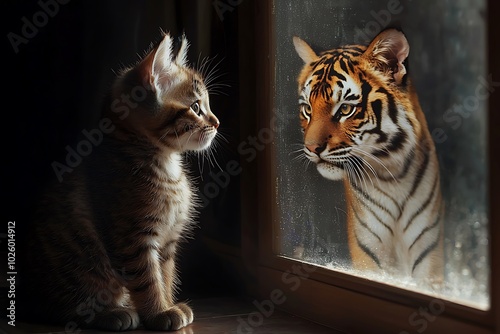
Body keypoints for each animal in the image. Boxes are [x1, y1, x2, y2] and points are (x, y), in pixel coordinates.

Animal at [21, 32, 220, 330]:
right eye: (196, 107)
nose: (217, 123)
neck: (165, 164)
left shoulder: (167, 243)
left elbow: (165, 274)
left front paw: (168, 303)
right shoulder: (132, 239)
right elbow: (148, 279)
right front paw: (159, 312)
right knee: (64, 309)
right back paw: (112, 313)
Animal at [292, 29, 444, 284]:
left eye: (345, 109)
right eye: (307, 109)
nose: (312, 148)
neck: (393, 174)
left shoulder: (428, 251)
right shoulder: (369, 250)